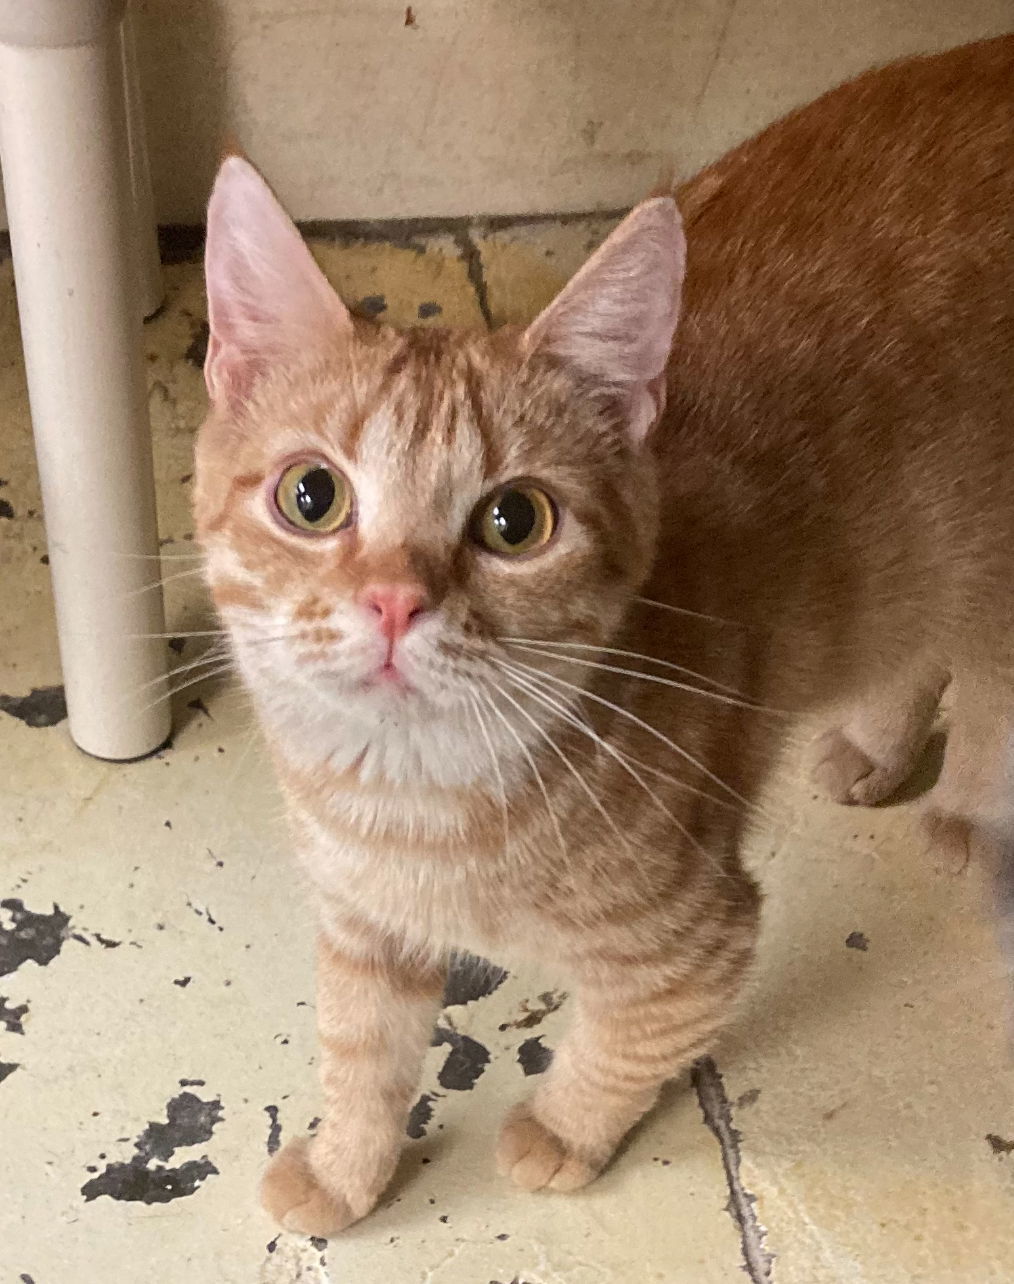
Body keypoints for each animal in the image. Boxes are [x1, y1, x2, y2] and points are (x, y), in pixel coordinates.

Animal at [192, 32, 1014, 1232]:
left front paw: (560, 1132)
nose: (394, 601)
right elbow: (361, 1051)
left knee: (994, 672)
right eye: (312, 497)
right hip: (914, 550)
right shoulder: (360, 925)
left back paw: (966, 811)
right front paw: (347, 1167)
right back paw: (878, 746)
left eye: (515, 522)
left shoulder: (698, 937)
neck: (418, 804)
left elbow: (633, 1037)